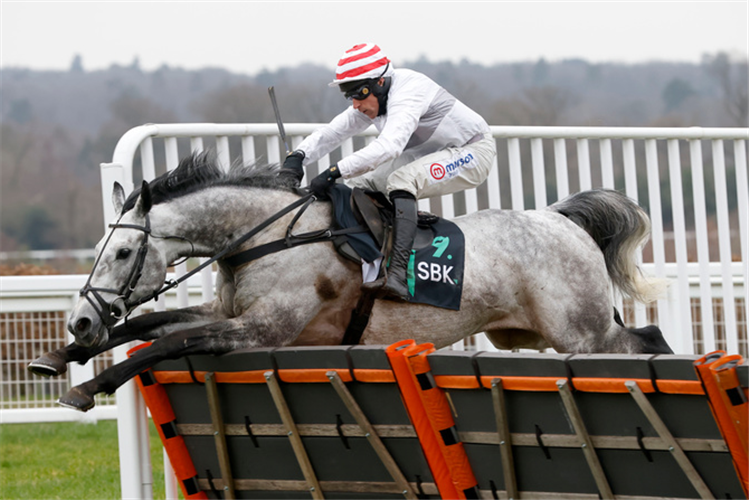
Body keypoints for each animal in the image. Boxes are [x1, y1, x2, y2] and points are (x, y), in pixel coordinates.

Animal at [29, 151, 672, 410]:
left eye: (125, 251)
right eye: (98, 250)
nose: (81, 319)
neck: (267, 236)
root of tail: (562, 218)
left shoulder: (262, 329)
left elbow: (164, 343)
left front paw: (87, 387)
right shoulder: (228, 315)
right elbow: (151, 322)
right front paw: (59, 357)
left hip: (581, 333)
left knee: (647, 341)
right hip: (535, 334)